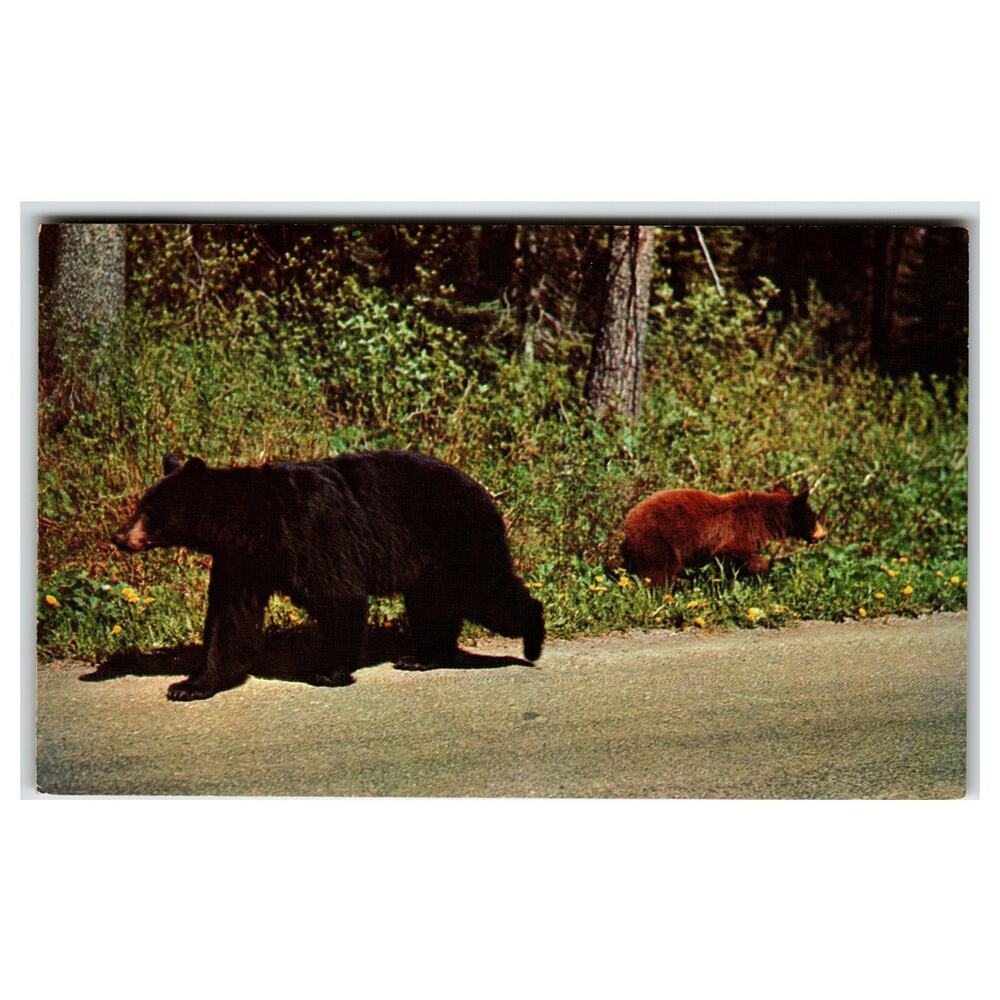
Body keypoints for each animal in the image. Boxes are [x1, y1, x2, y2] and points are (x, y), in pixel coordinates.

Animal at [111, 450, 545, 701]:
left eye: (149, 510)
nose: (119, 537)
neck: (253, 522)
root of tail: (481, 488)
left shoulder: (311, 533)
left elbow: (339, 595)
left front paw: (328, 670)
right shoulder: (242, 561)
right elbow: (229, 619)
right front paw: (190, 685)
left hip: (454, 539)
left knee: (488, 593)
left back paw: (531, 642)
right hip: (429, 562)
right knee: (432, 605)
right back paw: (421, 657)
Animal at [621, 481, 827, 588]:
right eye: (814, 517)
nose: (823, 534)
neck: (766, 517)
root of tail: (628, 523)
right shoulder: (742, 529)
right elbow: (733, 552)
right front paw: (765, 569)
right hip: (657, 540)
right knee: (659, 571)